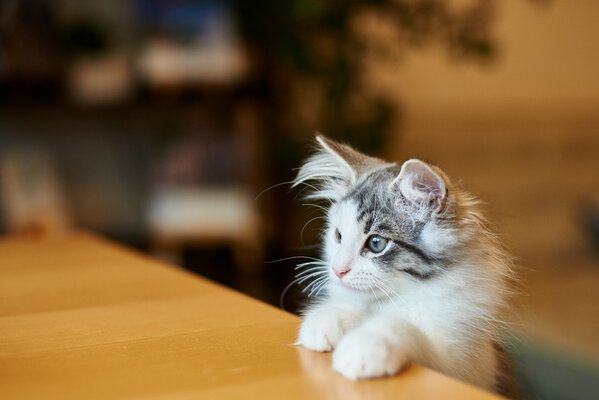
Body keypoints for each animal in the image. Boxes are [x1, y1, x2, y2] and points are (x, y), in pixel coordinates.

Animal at [292, 134, 516, 394]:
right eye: (338, 236)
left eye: (376, 243)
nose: (338, 270)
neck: (404, 295)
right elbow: (350, 306)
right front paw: (326, 319)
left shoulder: (457, 363)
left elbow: (401, 327)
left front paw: (364, 346)